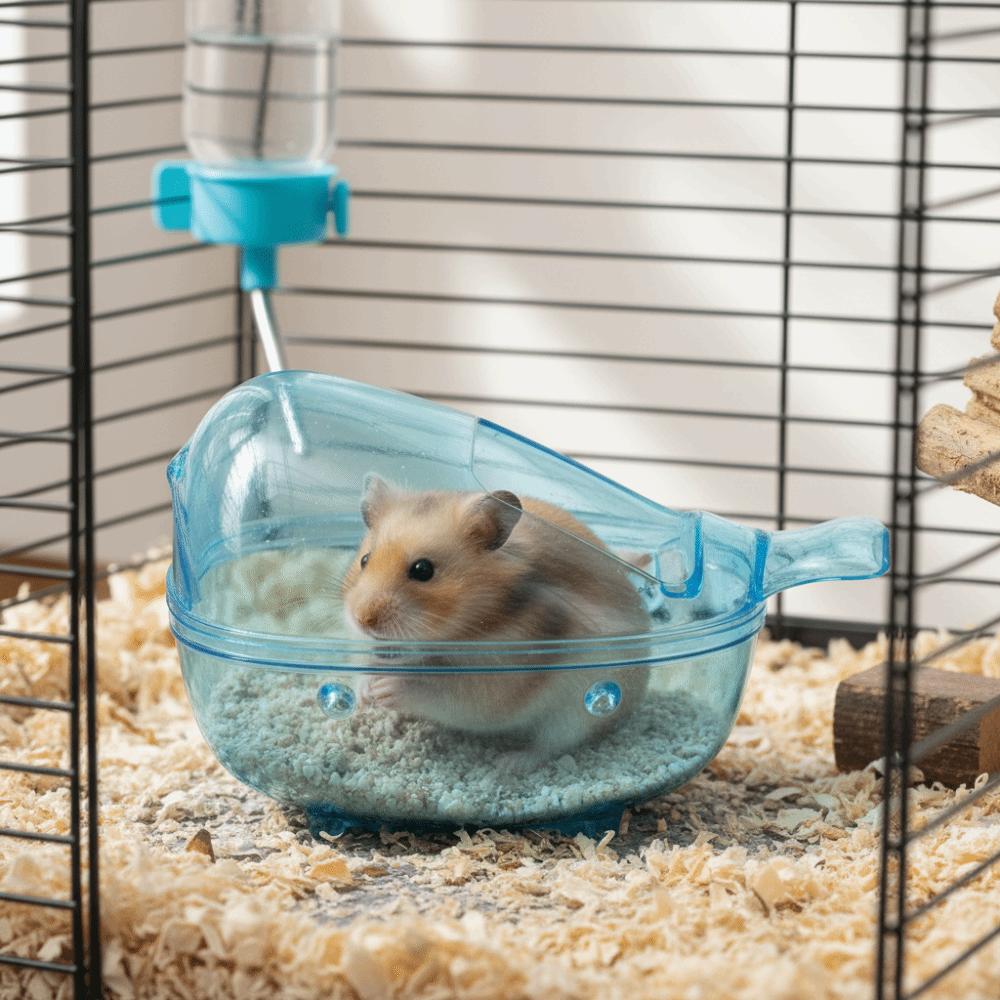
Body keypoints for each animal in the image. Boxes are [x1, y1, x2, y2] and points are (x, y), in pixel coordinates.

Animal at [340, 475, 652, 766]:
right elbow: (364, 665)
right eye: (365, 560)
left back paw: (509, 763)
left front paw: (386, 689)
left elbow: (438, 690)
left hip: (583, 708)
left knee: (552, 745)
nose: (363, 619)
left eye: (423, 570)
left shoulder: (499, 678)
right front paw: (366, 694)